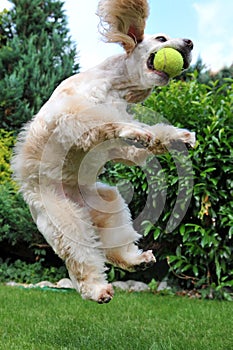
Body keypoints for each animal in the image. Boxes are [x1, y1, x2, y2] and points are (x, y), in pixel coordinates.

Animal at [12, 0, 195, 300]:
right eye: (161, 38)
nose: (190, 42)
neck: (117, 87)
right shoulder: (72, 115)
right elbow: (107, 121)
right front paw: (135, 131)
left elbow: (142, 140)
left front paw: (177, 137)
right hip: (65, 220)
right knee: (81, 257)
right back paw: (96, 290)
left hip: (109, 206)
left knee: (113, 249)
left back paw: (136, 260)